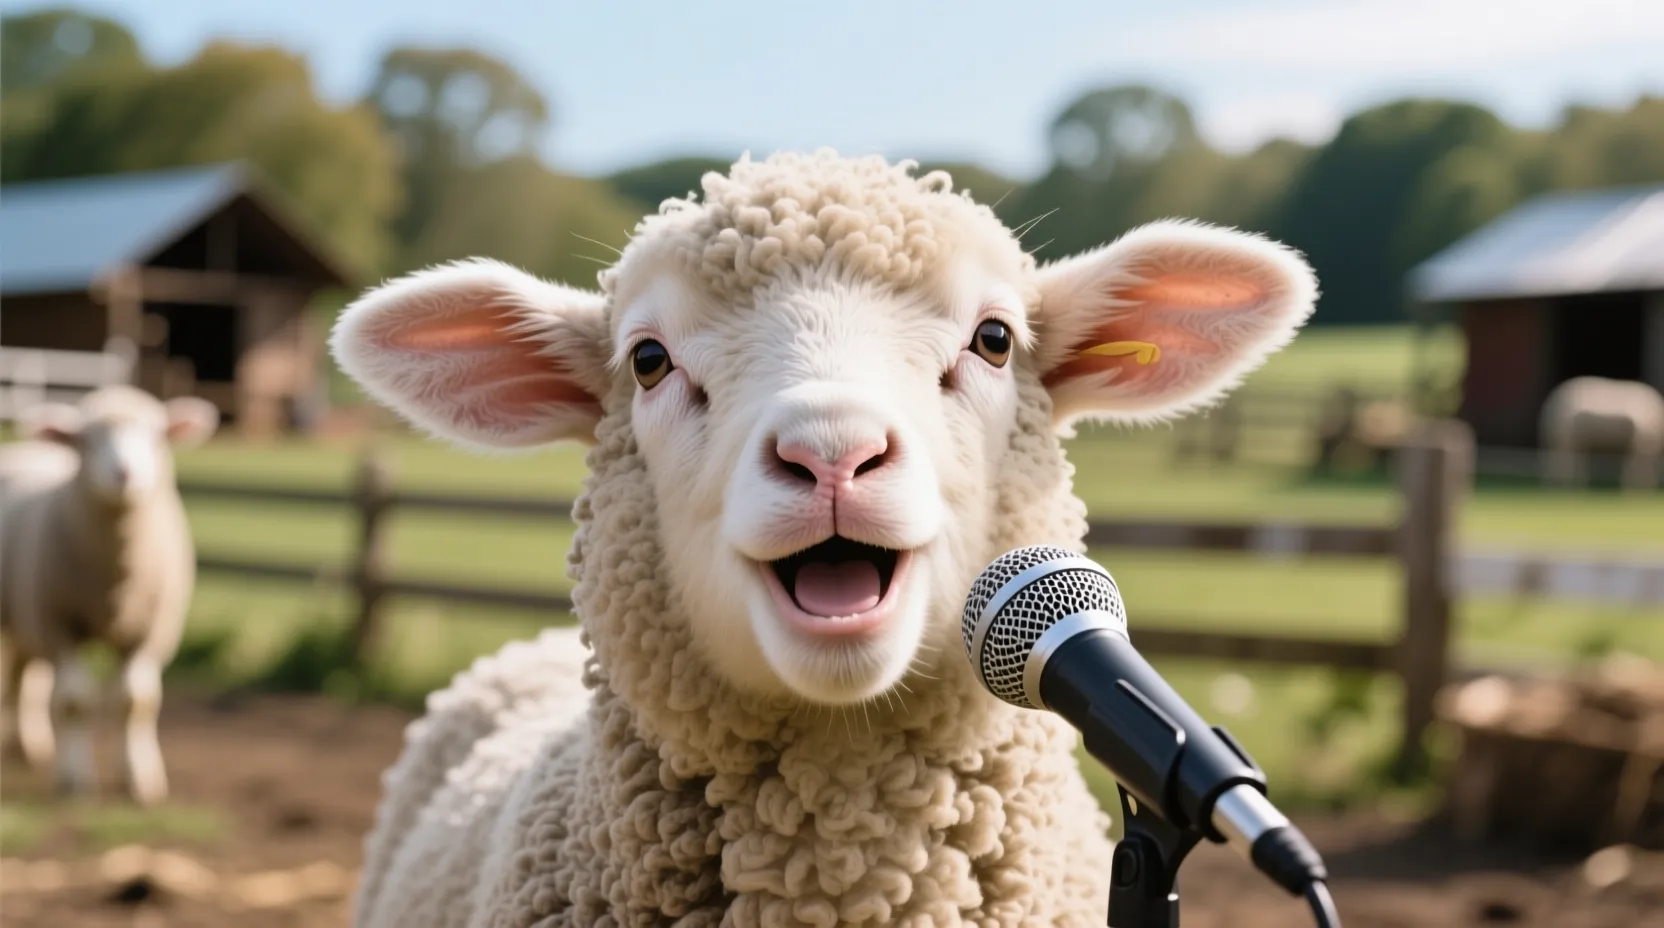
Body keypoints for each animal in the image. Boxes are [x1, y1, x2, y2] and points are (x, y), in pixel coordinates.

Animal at [0, 385, 219, 805]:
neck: (116, 582)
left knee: (25, 677)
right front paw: (75, 781)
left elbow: (135, 703)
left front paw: (139, 780)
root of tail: (27, 447)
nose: (124, 474)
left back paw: (29, 746)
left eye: (158, 434)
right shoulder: (60, 626)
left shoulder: (150, 632)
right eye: (85, 439)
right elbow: (74, 702)